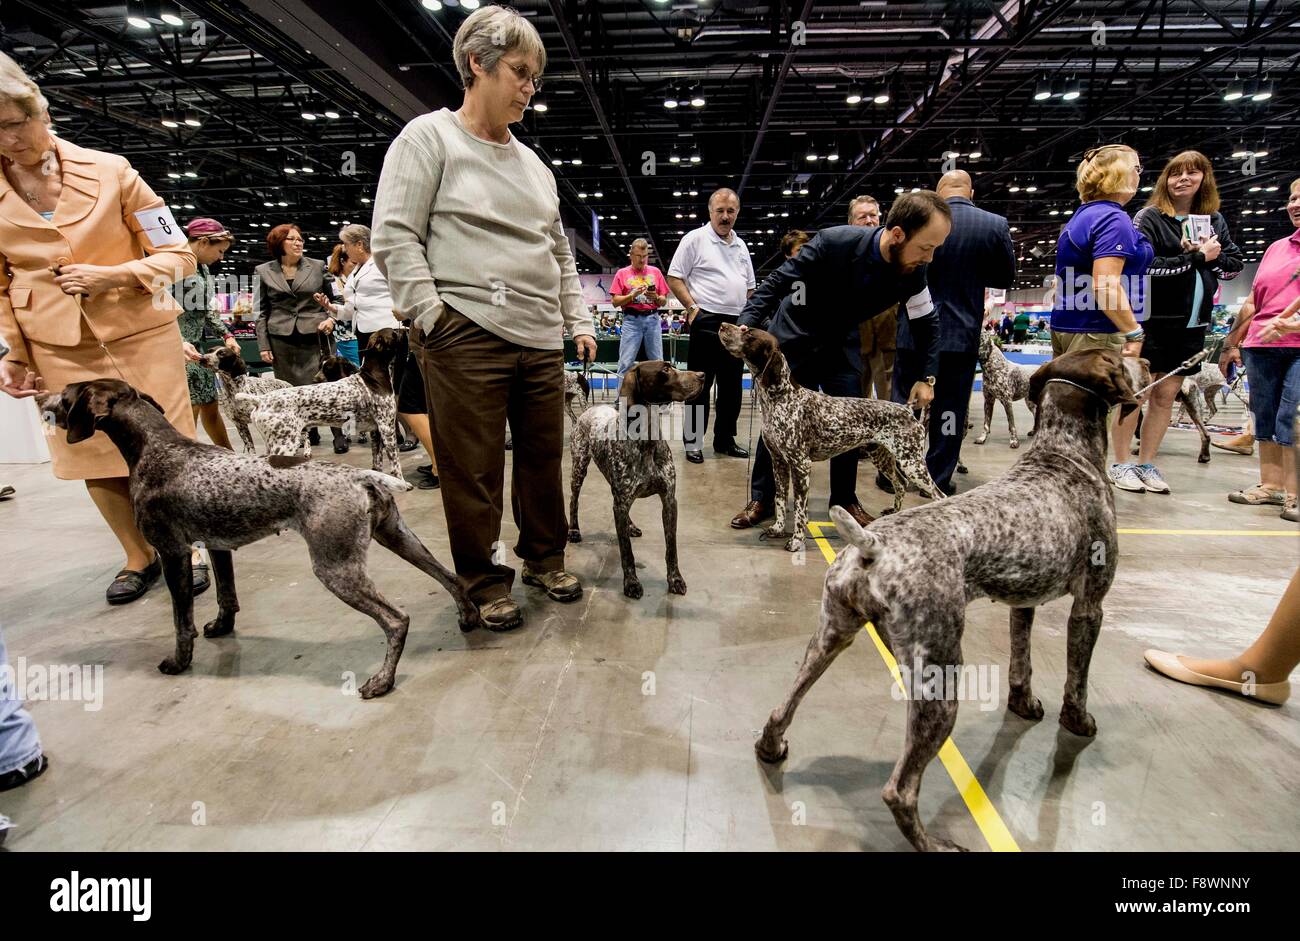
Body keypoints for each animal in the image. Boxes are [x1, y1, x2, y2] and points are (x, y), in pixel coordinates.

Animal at [44, 376, 488, 696]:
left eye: (66, 396)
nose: (45, 402)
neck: (157, 448)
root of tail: (360, 475)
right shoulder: (217, 546)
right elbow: (227, 596)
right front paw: (221, 628)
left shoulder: (173, 552)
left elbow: (181, 621)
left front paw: (179, 662)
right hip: (396, 536)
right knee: (450, 578)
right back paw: (467, 617)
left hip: (336, 568)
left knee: (397, 620)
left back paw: (383, 680)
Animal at [239, 328, 400, 478]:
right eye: (394, 333)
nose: (402, 329)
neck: (373, 377)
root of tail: (260, 400)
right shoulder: (387, 430)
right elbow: (396, 465)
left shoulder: (376, 432)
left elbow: (377, 462)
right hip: (285, 444)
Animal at [569, 358, 707, 595]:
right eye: (665, 369)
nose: (702, 375)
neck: (646, 439)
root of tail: (589, 410)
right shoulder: (622, 502)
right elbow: (626, 551)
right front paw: (631, 582)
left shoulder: (669, 500)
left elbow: (671, 547)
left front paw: (675, 579)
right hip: (579, 468)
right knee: (573, 501)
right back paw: (574, 530)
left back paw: (630, 525)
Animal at [717, 327, 941, 556]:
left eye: (750, 335)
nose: (723, 325)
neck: (781, 399)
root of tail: (907, 409)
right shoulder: (778, 462)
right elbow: (780, 498)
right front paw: (778, 529)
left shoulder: (800, 465)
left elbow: (800, 510)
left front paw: (796, 541)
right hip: (883, 457)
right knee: (901, 484)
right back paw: (893, 514)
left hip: (912, 463)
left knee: (938, 495)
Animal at [754, 350, 1138, 852]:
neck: (1064, 452)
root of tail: (872, 546)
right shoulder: (1090, 606)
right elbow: (1078, 679)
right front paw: (1078, 721)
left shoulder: (1023, 603)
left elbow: (1021, 663)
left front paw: (1024, 704)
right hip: (940, 678)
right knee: (899, 791)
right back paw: (934, 844)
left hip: (828, 639)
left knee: (781, 708)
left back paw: (772, 747)